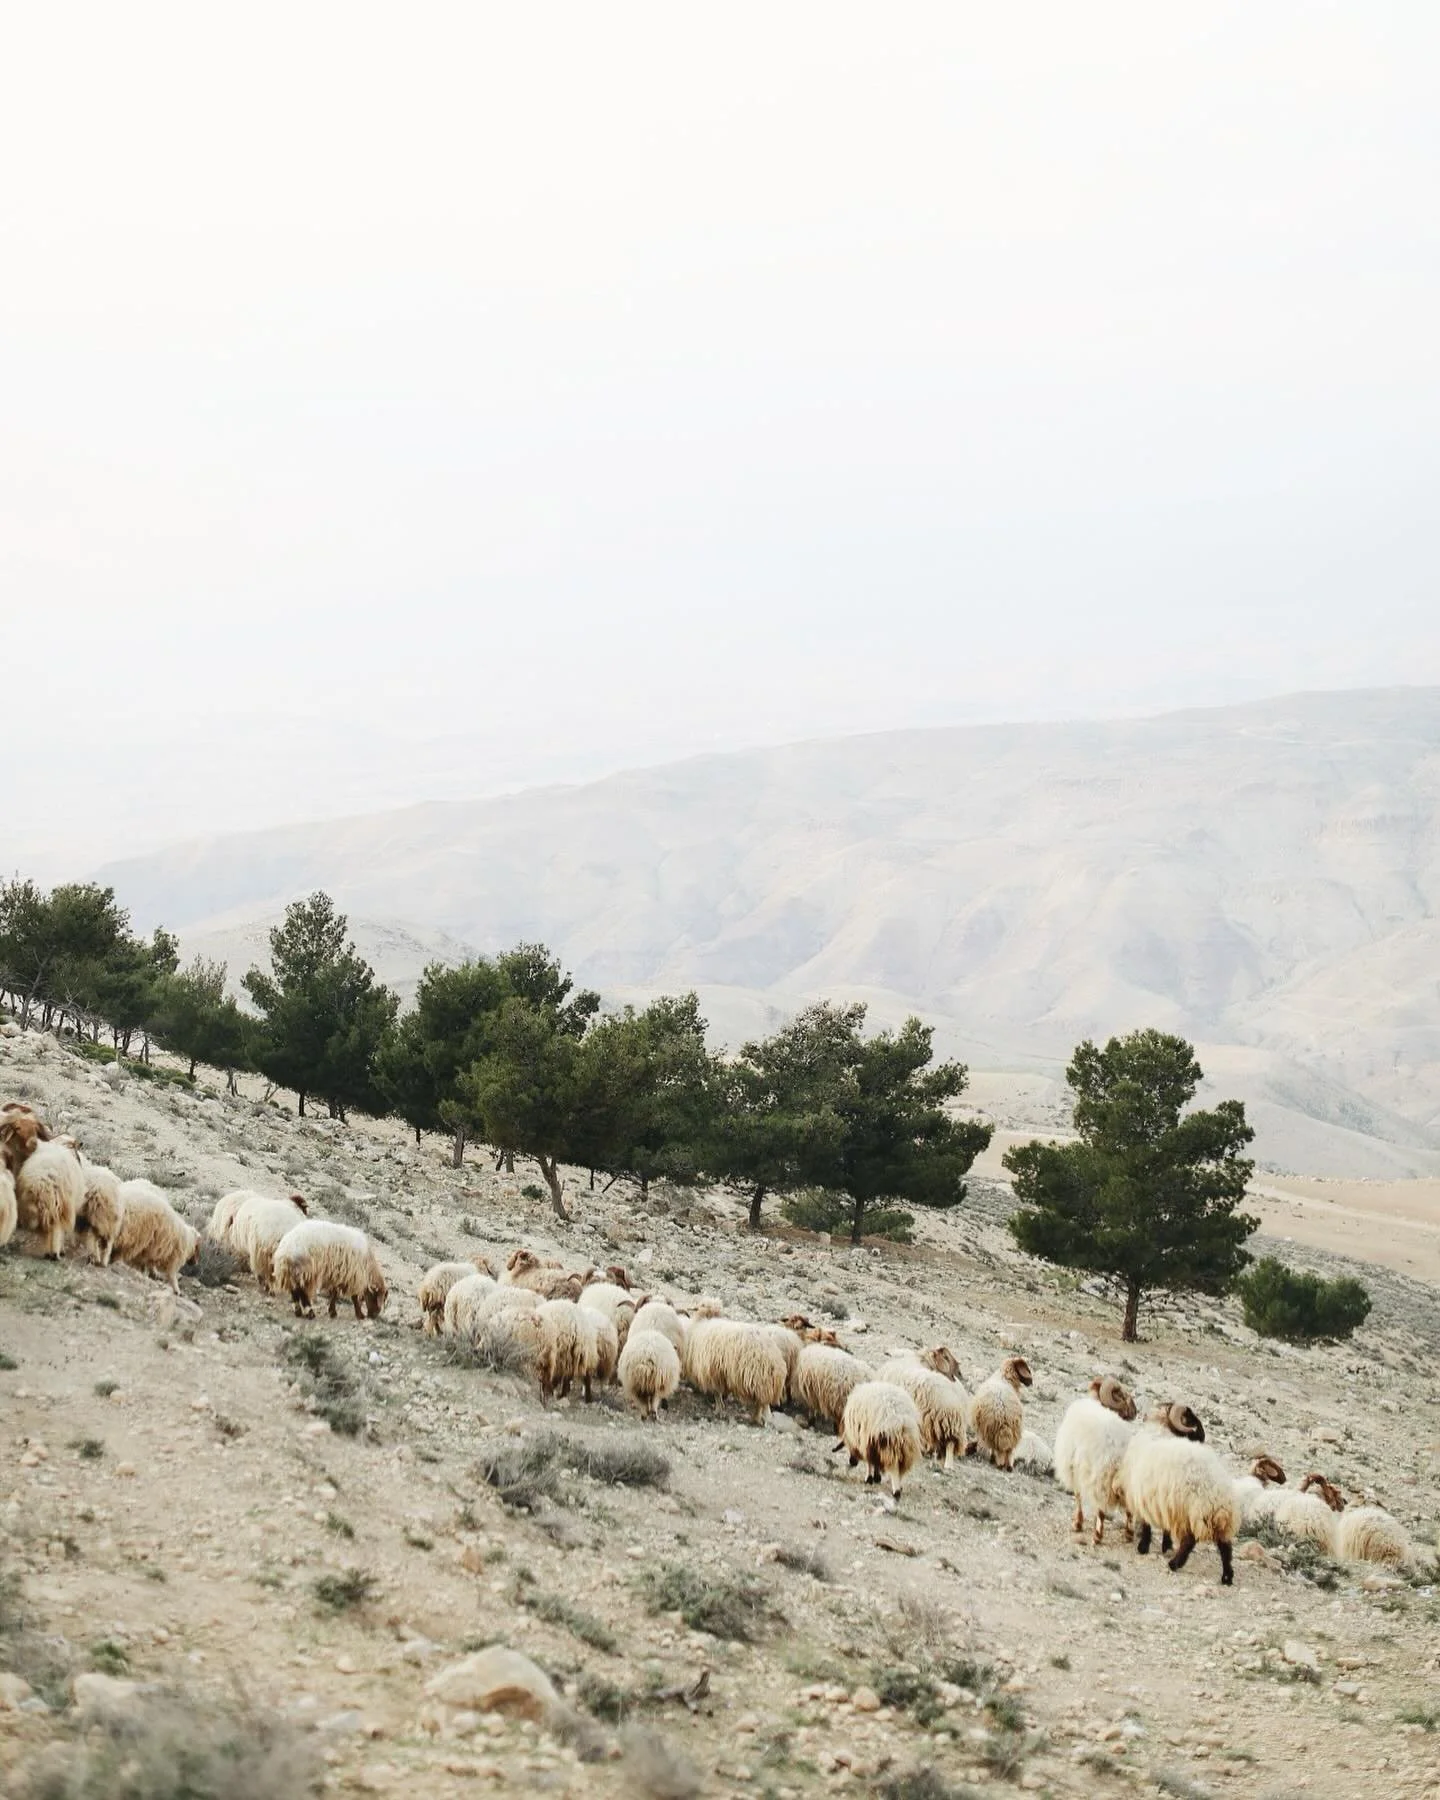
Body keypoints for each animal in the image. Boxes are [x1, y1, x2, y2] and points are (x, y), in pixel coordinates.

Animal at [1053, 1378, 1140, 1544]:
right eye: (1121, 1394)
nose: (1136, 1411)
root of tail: (1119, 1447)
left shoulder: (1075, 1469)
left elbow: (1078, 1496)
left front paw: (1077, 1524)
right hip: (1125, 1480)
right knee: (1129, 1508)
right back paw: (1129, 1534)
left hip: (1101, 1478)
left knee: (1101, 1509)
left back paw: (1097, 1536)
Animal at [1117, 1401, 1238, 1585]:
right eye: (1190, 1419)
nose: (1203, 1436)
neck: (1160, 1428)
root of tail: (1217, 1490)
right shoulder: (1163, 1503)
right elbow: (1164, 1527)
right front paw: (1165, 1545)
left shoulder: (1145, 1497)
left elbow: (1146, 1524)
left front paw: (1143, 1547)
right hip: (1217, 1520)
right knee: (1225, 1546)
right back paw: (1227, 1577)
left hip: (1189, 1512)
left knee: (1189, 1541)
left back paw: (1174, 1564)